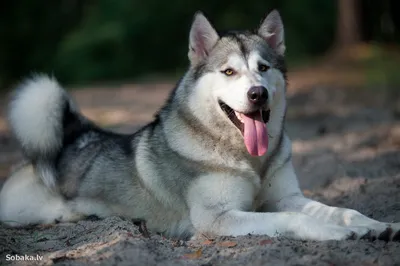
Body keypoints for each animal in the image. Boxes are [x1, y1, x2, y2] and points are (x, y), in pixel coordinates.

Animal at [0, 10, 398, 242]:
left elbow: (340, 209)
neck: (249, 159)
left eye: (263, 68)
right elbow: (291, 219)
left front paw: (372, 225)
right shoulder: (217, 219)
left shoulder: (289, 196)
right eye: (229, 71)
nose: (257, 94)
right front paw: (336, 232)